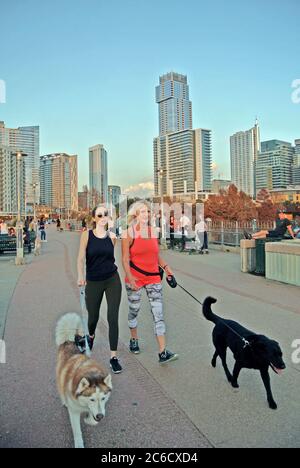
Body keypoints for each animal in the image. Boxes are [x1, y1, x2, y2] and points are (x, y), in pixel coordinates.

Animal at [55, 312, 112, 448]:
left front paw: (89, 419)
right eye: (91, 399)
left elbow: (92, 420)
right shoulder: (74, 412)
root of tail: (69, 341)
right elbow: (77, 430)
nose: (100, 416)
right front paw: (79, 444)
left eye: (103, 398)